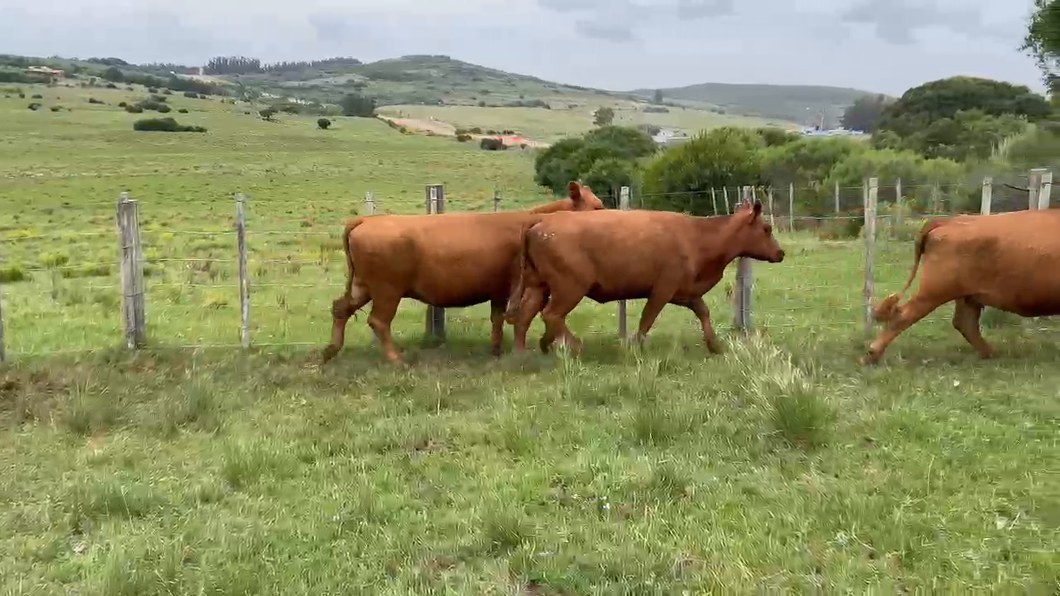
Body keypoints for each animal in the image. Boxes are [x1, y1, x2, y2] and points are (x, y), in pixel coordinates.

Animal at [320, 180, 606, 362]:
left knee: (340, 308)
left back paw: (331, 350)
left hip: (362, 286)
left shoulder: (498, 289)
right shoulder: (517, 286)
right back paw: (395, 359)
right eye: (597, 207)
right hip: (387, 290)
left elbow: (497, 319)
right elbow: (518, 317)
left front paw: (496, 350)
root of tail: (366, 220)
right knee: (378, 321)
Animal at [504, 201, 788, 354]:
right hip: (569, 288)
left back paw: (526, 351)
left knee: (526, 317)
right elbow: (647, 320)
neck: (697, 236)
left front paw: (714, 346)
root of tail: (540, 223)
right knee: (551, 315)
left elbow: (703, 313)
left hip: (540, 286)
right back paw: (572, 345)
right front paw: (634, 346)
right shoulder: (662, 290)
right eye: (766, 228)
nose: (781, 252)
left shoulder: (685, 292)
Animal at [860, 208, 1060, 366]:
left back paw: (989, 353)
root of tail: (950, 220)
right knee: (903, 316)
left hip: (967, 295)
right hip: (935, 290)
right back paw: (871, 356)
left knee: (965, 323)